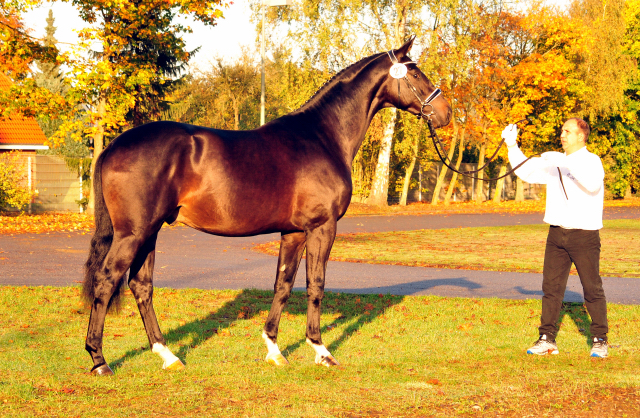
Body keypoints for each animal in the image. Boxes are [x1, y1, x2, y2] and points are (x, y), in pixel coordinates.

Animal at [84, 36, 450, 376]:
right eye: (415, 72)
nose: (445, 113)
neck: (322, 137)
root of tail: (114, 146)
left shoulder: (293, 232)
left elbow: (283, 284)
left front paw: (274, 349)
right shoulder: (322, 227)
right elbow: (315, 285)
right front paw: (321, 350)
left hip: (150, 232)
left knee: (140, 286)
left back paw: (168, 355)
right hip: (134, 233)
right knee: (106, 280)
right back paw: (99, 361)